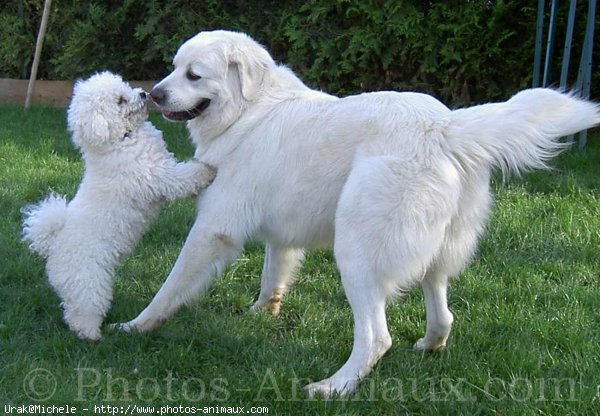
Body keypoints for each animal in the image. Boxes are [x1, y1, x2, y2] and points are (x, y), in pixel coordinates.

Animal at [117, 30, 600, 396]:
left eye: (193, 74)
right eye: (174, 67)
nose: (153, 94)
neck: (250, 110)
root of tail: (443, 127)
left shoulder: (214, 227)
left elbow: (172, 284)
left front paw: (137, 325)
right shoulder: (281, 235)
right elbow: (273, 276)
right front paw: (261, 312)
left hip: (356, 251)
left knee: (375, 338)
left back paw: (334, 387)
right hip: (433, 252)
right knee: (443, 312)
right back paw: (429, 346)